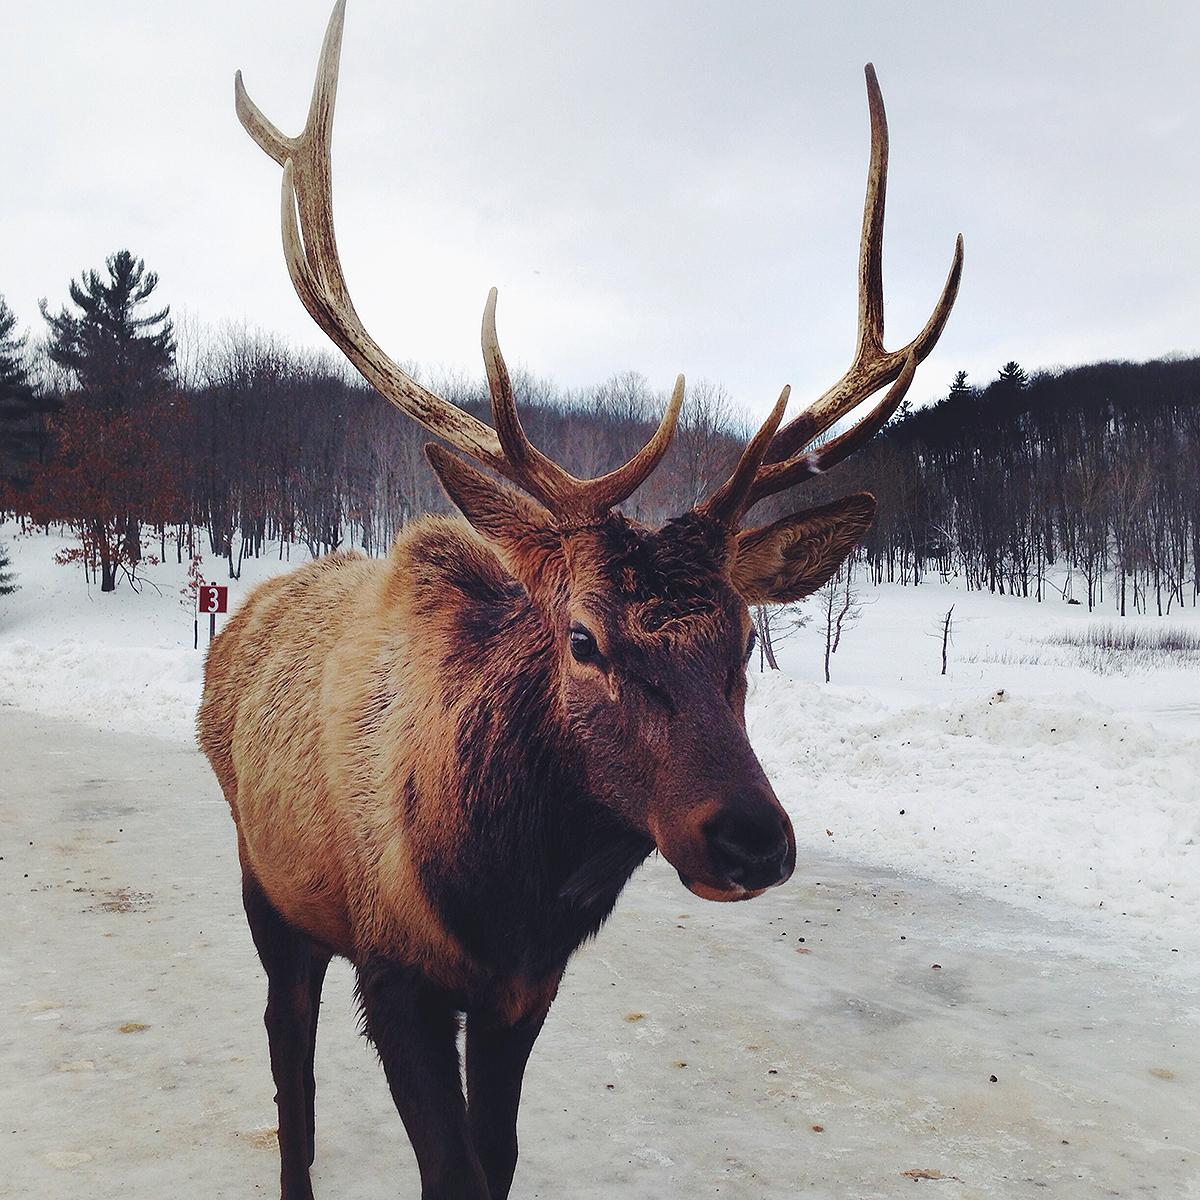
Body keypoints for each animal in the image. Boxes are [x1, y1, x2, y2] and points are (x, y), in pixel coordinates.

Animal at [199, 4, 964, 1195]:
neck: (511, 896)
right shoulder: (395, 970)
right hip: (268, 882)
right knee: (289, 1058)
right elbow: (448, 1167)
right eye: (583, 638)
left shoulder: (526, 990)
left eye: (745, 641)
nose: (750, 837)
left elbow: (501, 1157)